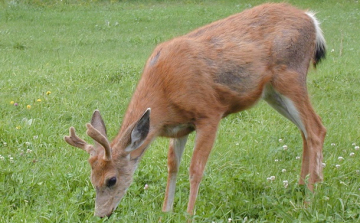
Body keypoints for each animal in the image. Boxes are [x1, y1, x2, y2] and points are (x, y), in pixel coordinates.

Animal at [64, 1, 326, 218]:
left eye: (111, 180)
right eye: (92, 178)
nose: (101, 214)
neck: (164, 93)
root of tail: (311, 20)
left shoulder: (209, 113)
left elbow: (195, 168)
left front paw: (189, 214)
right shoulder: (180, 127)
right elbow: (173, 165)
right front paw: (166, 211)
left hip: (290, 76)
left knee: (316, 129)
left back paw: (310, 199)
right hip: (272, 93)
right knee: (304, 131)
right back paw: (301, 187)